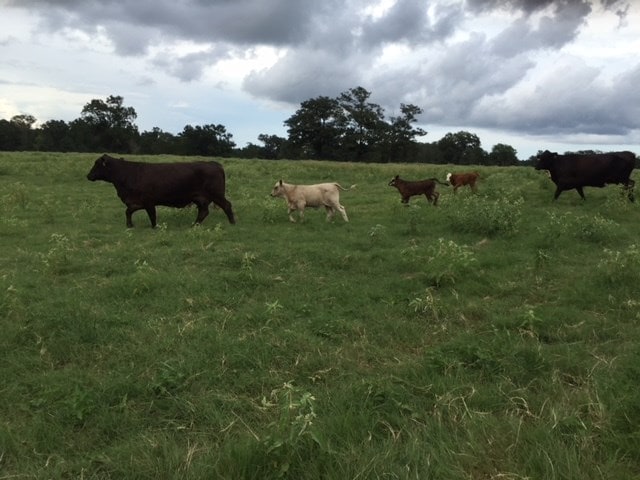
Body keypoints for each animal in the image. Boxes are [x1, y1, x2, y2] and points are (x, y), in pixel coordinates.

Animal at [86, 155, 234, 228]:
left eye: (97, 164)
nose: (88, 175)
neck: (127, 173)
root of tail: (213, 163)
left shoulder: (148, 201)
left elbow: (152, 216)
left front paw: (154, 227)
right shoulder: (137, 202)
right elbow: (128, 211)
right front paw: (129, 225)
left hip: (216, 194)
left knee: (227, 205)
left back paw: (232, 223)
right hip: (201, 198)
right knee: (203, 212)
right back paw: (194, 225)